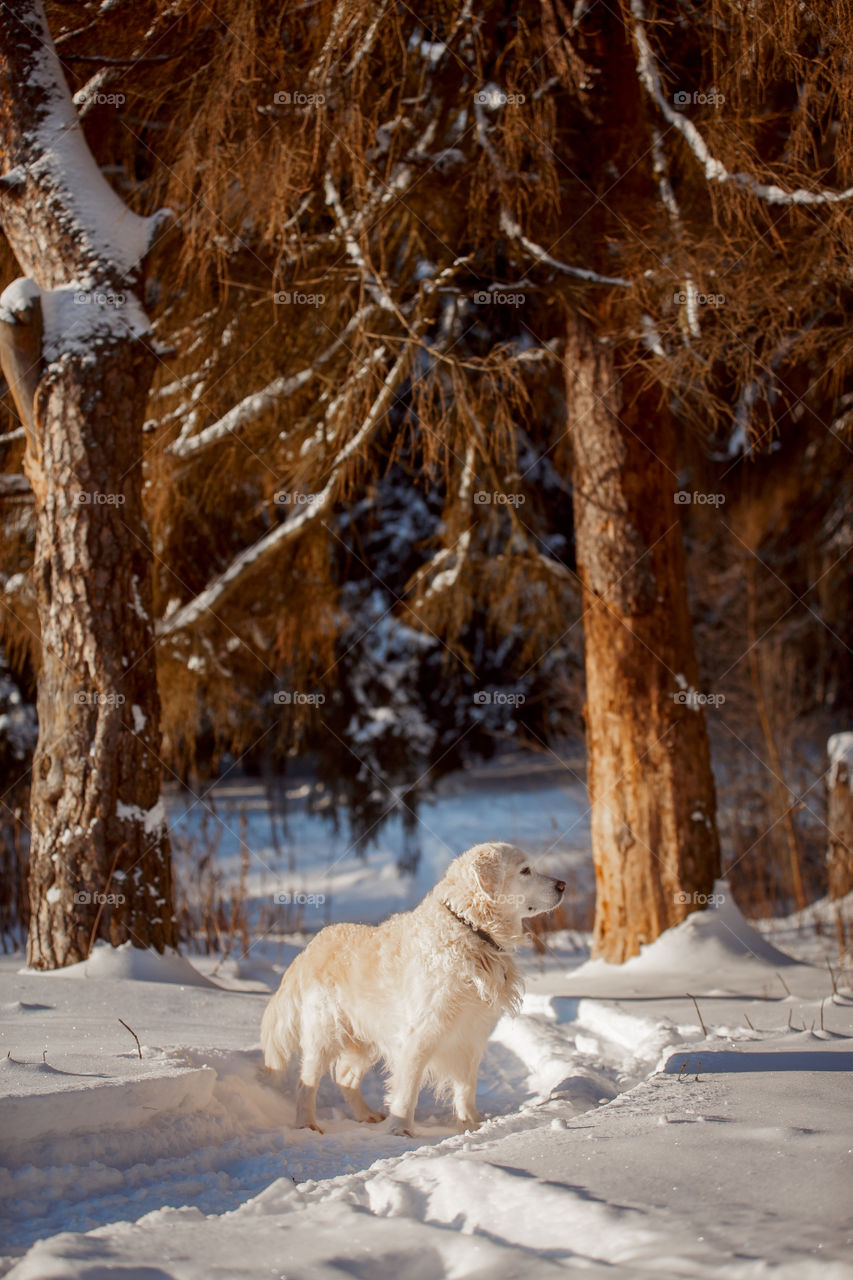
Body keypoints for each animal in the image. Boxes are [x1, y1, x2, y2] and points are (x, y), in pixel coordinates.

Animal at [258, 844, 563, 1136]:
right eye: (525, 870)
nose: (562, 884)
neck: (471, 929)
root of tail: (312, 946)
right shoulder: (421, 1032)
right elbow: (408, 1087)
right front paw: (401, 1128)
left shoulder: (472, 1035)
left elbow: (466, 1087)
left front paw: (471, 1124)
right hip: (325, 1033)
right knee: (306, 1082)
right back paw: (306, 1124)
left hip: (365, 1037)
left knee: (344, 1076)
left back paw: (366, 1115)